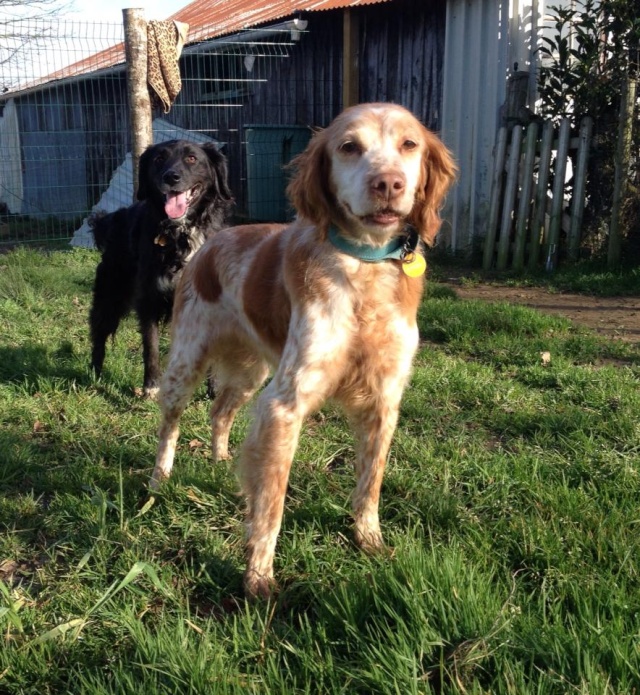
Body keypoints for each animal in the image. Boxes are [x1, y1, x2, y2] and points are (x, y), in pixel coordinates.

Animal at [87, 140, 232, 396]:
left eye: (192, 158)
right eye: (158, 159)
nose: (171, 177)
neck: (182, 232)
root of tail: (115, 217)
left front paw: (214, 390)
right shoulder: (149, 299)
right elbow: (151, 346)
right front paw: (151, 386)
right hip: (110, 295)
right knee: (99, 333)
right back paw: (95, 374)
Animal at [151, 102, 456, 600]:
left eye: (409, 144)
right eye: (349, 146)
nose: (389, 183)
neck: (364, 266)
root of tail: (211, 243)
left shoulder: (384, 400)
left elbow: (370, 482)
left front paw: (369, 540)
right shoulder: (285, 403)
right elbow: (272, 502)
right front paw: (258, 576)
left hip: (251, 372)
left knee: (220, 410)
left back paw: (220, 460)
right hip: (188, 362)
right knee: (170, 423)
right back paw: (160, 477)